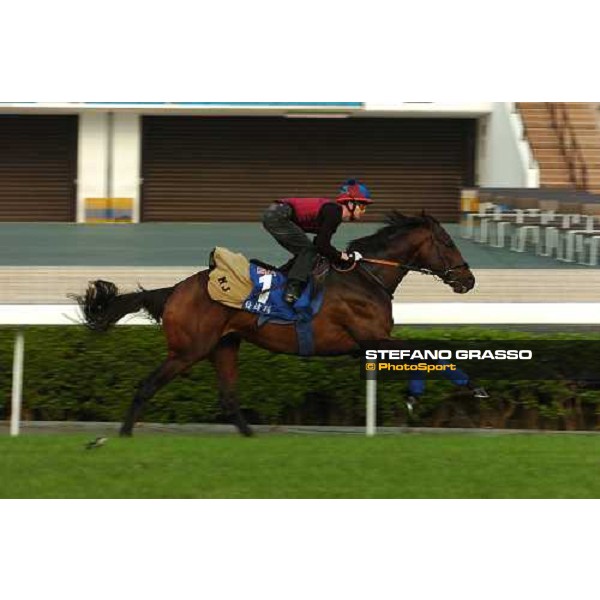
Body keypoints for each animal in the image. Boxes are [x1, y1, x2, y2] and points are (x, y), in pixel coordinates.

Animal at [74, 211, 474, 436]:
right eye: (447, 242)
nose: (468, 280)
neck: (366, 277)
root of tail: (174, 289)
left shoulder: (365, 344)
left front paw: (416, 396)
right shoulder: (371, 336)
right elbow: (428, 355)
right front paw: (456, 390)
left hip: (224, 346)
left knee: (228, 398)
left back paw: (251, 437)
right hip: (188, 350)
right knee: (147, 386)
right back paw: (123, 436)